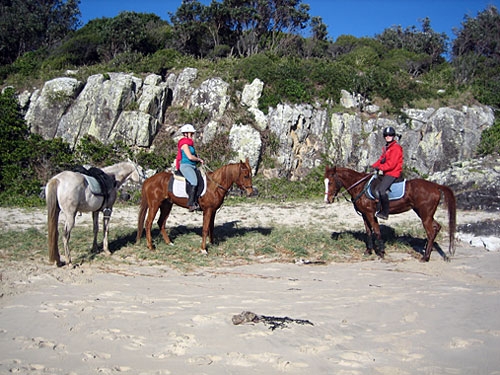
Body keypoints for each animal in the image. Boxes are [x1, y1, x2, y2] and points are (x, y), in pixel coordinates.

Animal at [324, 166, 458, 262]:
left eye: (330, 182)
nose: (327, 200)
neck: (360, 186)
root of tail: (435, 186)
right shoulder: (364, 215)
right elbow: (369, 232)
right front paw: (369, 251)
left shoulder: (370, 214)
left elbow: (377, 232)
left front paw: (381, 253)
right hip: (426, 215)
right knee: (436, 227)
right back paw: (427, 251)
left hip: (425, 216)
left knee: (430, 233)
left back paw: (425, 257)